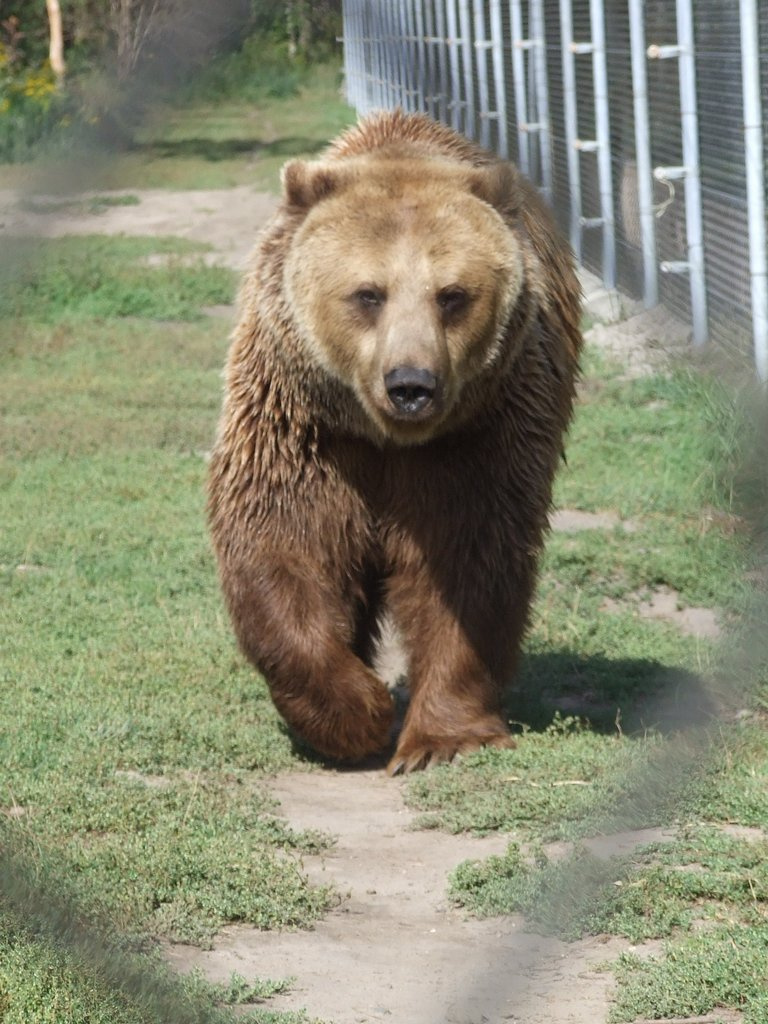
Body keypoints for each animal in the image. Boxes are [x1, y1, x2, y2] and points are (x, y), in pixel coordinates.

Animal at [208, 108, 581, 770]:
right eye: (368, 293)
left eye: (452, 295)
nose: (412, 384)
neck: (386, 436)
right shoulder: (305, 428)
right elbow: (281, 543)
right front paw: (360, 711)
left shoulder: (477, 436)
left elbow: (468, 560)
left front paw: (442, 740)